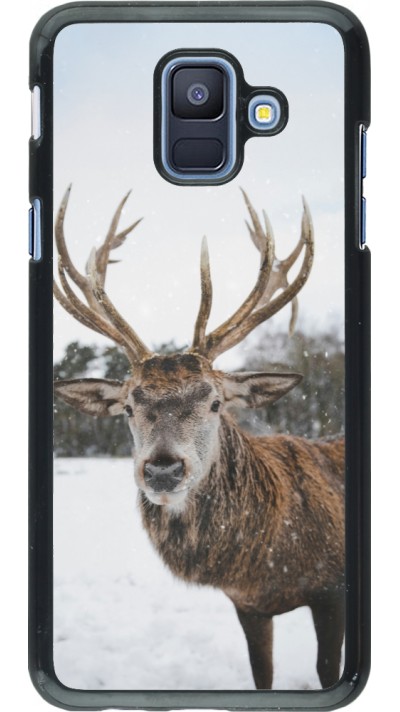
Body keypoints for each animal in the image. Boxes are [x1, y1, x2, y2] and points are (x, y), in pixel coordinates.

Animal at [53, 187, 345, 690]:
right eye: (128, 407)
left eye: (214, 402)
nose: (163, 469)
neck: (268, 563)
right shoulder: (248, 605)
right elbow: (262, 675)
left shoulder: (333, 591)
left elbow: (329, 670)